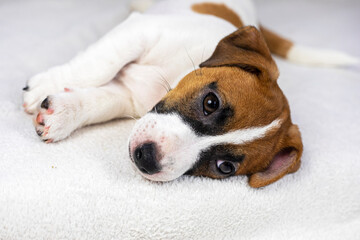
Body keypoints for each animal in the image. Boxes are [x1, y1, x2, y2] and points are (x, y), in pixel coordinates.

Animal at [22, 0, 358, 188]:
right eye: (211, 102)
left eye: (225, 167)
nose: (147, 158)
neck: (168, 78)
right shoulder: (139, 32)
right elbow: (98, 65)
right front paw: (46, 84)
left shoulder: (126, 96)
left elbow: (99, 100)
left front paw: (63, 113)